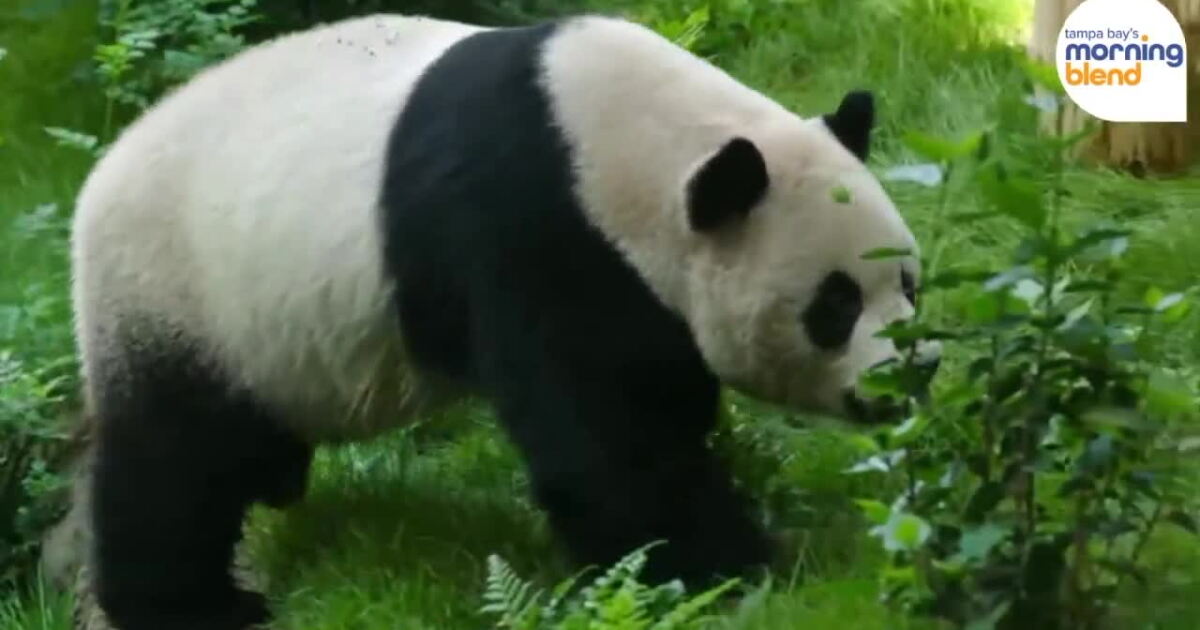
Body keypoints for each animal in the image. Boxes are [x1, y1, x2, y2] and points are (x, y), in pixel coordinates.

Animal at [65, 11, 936, 630]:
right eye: (834, 306)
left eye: (908, 282)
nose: (913, 373)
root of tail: (93, 186)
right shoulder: (529, 226)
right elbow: (603, 437)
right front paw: (731, 564)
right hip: (178, 292)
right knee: (173, 463)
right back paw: (191, 606)